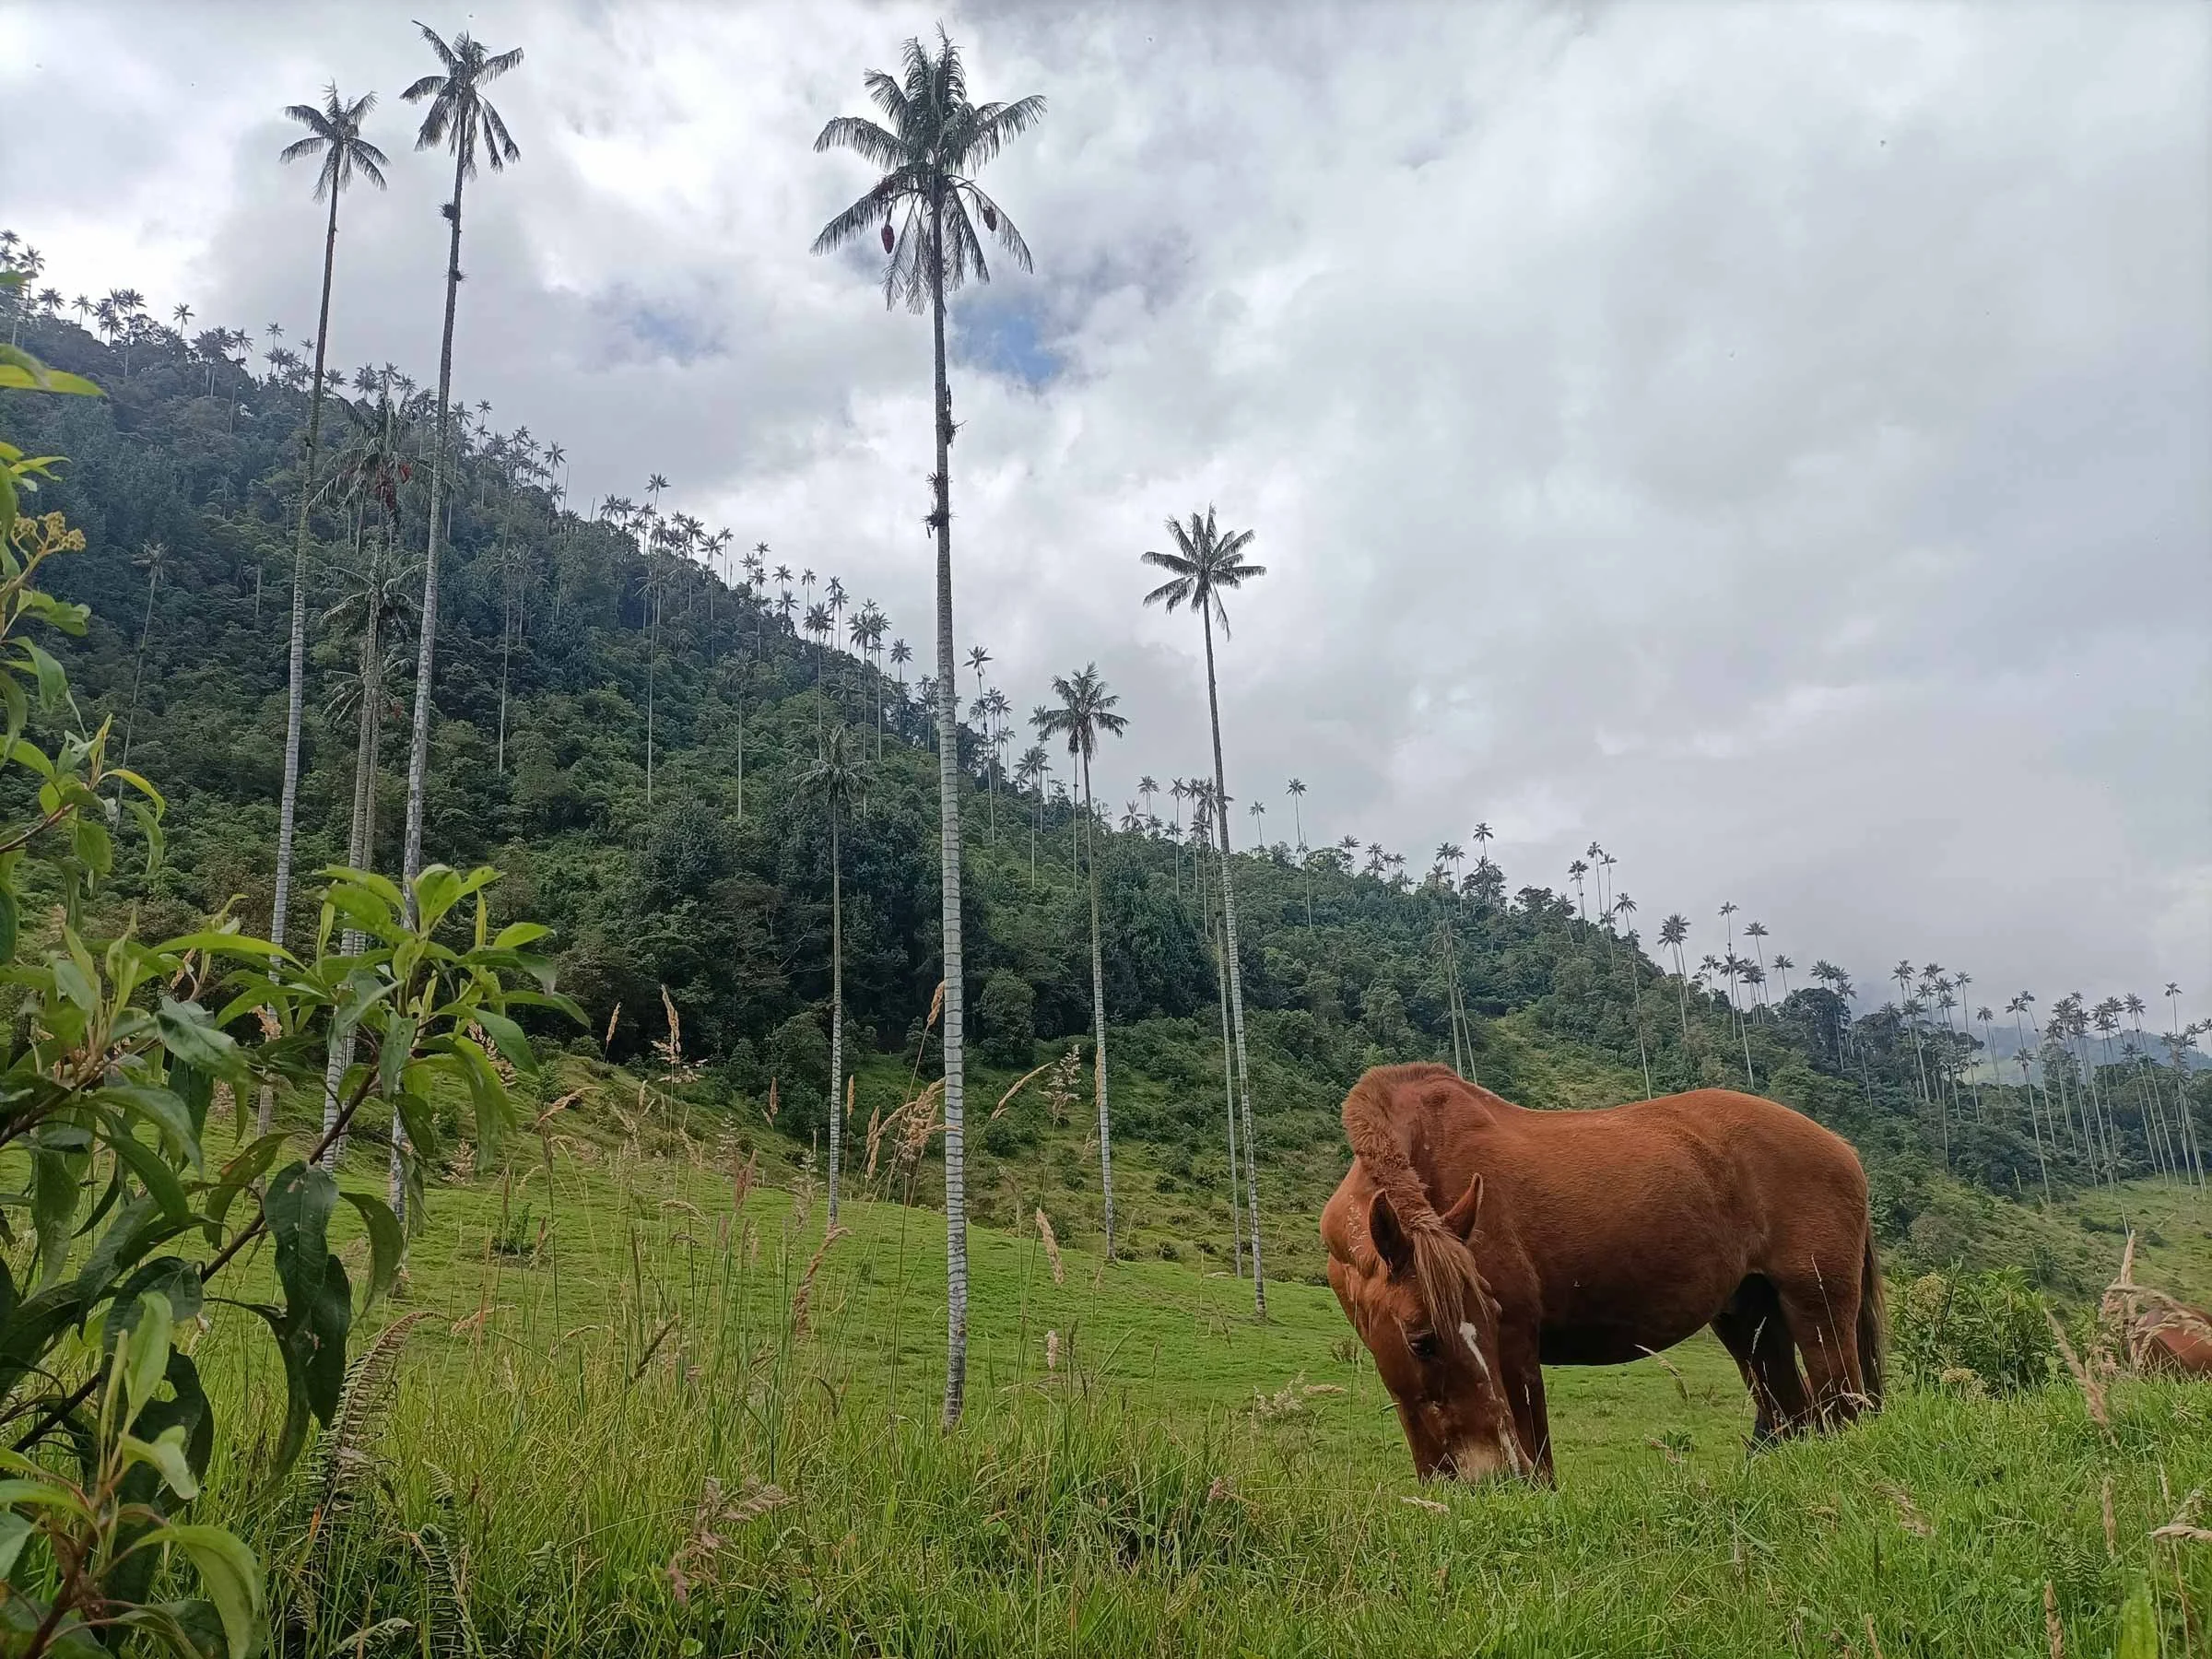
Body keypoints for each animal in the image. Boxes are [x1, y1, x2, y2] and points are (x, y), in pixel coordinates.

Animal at [1321, 1063, 1885, 1484]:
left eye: (1491, 1317)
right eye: (1421, 1341)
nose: (1498, 1474)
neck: (1430, 1159)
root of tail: (1844, 1149)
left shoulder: (1516, 1346)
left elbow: (1540, 1460)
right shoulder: (1403, 1377)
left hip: (1818, 1309)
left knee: (1841, 1407)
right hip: (1751, 1323)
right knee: (1794, 1416)